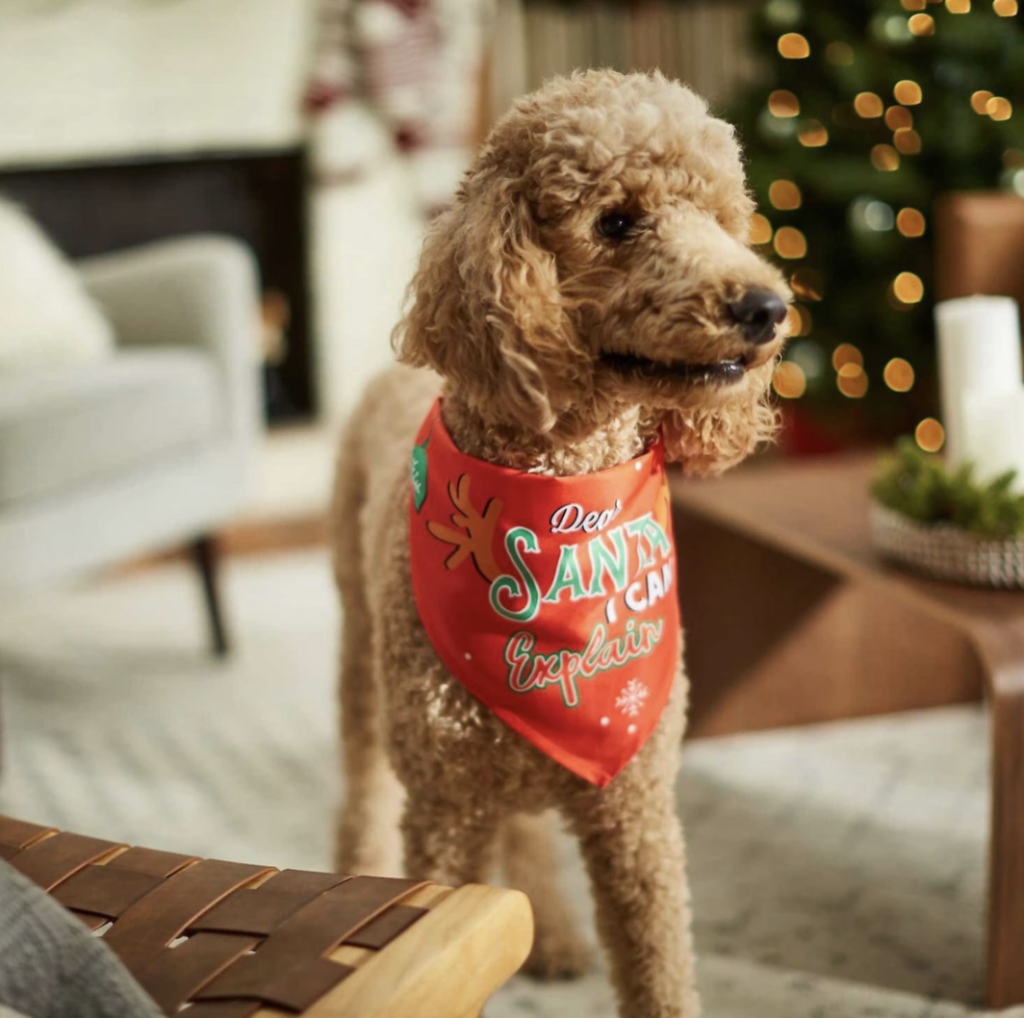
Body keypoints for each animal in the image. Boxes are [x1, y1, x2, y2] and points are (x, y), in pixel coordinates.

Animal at [335, 71, 790, 1015]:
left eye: (723, 216)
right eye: (615, 221)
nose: (766, 308)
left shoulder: (636, 810)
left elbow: (659, 969)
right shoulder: (443, 809)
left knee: (525, 829)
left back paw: (549, 925)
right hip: (362, 659)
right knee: (361, 790)